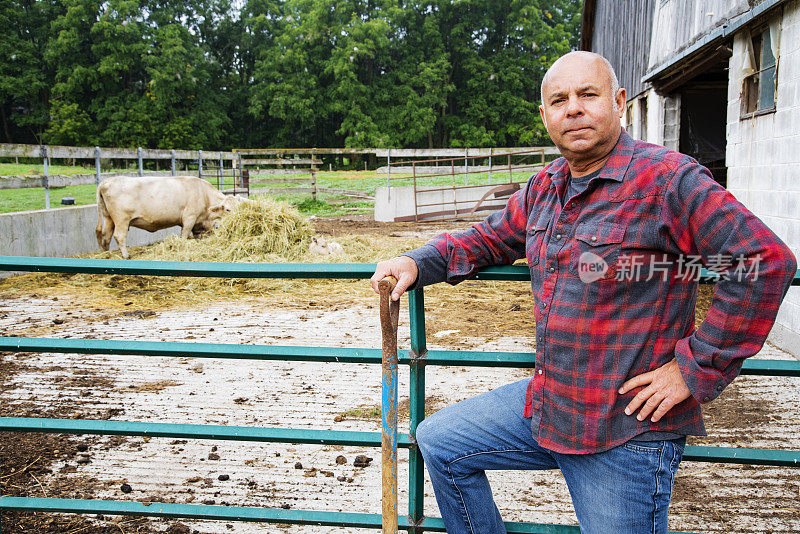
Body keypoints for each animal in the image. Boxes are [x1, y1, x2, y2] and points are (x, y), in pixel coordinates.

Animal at [94, 176, 238, 260]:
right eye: (227, 209)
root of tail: (106, 181)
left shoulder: (198, 223)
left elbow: (197, 236)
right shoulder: (189, 218)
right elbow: (184, 235)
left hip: (108, 218)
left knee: (106, 236)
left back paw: (106, 254)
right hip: (121, 219)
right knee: (119, 236)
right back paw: (125, 255)